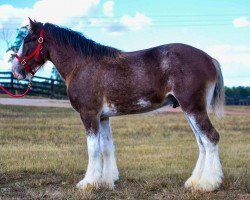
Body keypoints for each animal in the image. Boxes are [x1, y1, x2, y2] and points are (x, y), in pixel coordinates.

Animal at [11, 19, 224, 193]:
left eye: (28, 39)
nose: (16, 70)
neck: (81, 65)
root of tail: (209, 59)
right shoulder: (103, 117)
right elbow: (106, 147)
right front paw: (106, 180)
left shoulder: (89, 115)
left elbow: (93, 148)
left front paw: (88, 182)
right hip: (189, 111)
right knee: (202, 142)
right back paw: (194, 182)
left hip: (194, 109)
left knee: (210, 137)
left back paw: (208, 184)